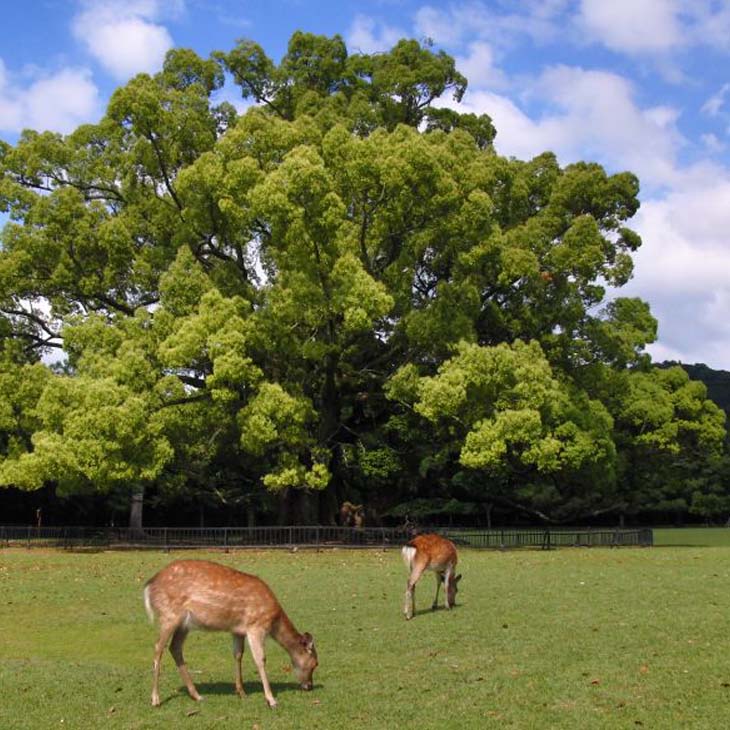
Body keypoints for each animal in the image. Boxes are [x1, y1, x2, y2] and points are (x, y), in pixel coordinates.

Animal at [142, 556, 316, 704]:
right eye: (315, 664)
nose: (309, 686)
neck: (274, 620)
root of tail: (149, 585)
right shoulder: (256, 625)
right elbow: (260, 659)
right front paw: (271, 699)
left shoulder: (238, 630)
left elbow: (238, 655)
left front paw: (242, 692)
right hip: (169, 616)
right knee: (158, 648)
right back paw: (155, 699)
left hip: (184, 624)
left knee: (175, 647)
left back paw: (197, 695)